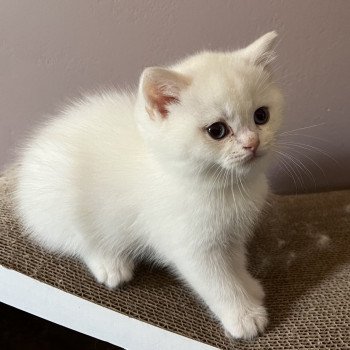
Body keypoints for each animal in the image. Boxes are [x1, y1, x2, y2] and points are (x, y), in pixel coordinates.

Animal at [15, 32, 284, 340]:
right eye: (217, 130)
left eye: (261, 116)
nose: (253, 143)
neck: (223, 187)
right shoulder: (191, 248)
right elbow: (218, 283)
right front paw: (243, 316)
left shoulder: (232, 236)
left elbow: (236, 263)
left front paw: (249, 287)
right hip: (60, 204)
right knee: (78, 239)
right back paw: (110, 263)